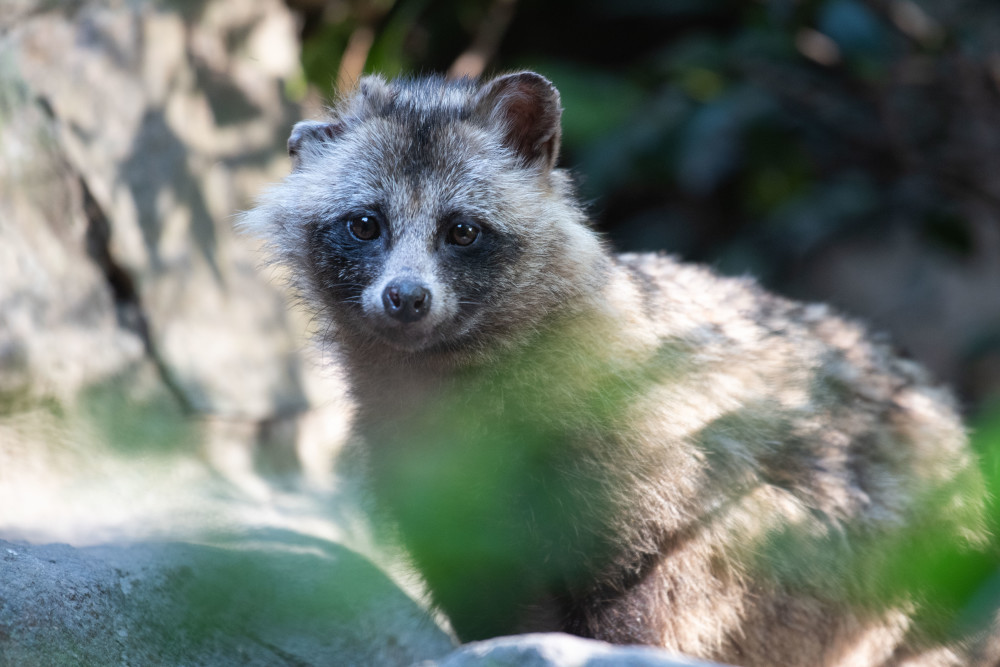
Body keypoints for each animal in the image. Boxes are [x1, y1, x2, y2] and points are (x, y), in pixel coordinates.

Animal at [244, 73, 992, 667]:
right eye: (365, 224)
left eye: (462, 231)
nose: (405, 297)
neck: (442, 371)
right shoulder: (437, 491)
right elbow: (484, 603)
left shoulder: (662, 476)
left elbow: (648, 601)